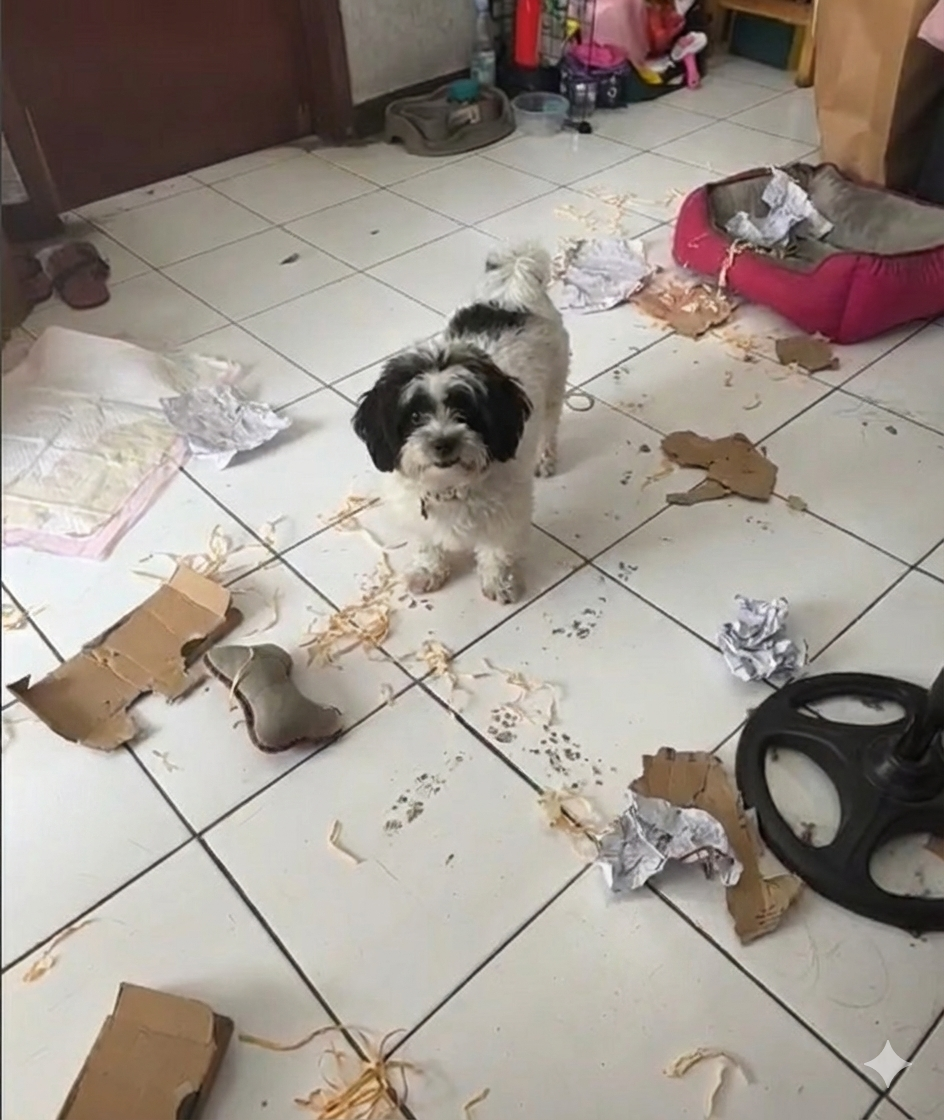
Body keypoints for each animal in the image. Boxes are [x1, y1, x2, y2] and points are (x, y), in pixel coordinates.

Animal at [352, 243, 570, 604]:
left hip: (555, 385)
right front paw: (428, 571)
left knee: (550, 427)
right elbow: (427, 543)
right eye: (415, 416)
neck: (450, 486)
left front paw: (500, 582)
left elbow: (497, 549)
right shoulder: (416, 515)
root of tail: (511, 287)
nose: (443, 443)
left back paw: (545, 458)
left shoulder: (507, 513)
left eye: (465, 412)